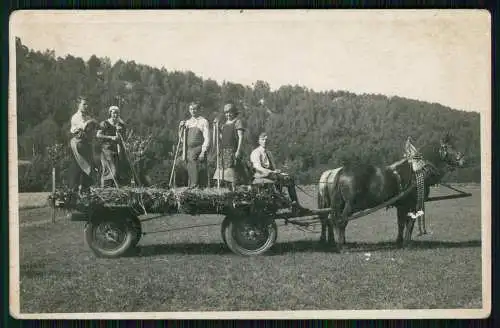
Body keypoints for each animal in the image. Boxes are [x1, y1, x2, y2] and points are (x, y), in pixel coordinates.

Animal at [318, 133, 466, 251]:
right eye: (449, 146)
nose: (463, 160)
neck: (417, 170)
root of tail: (341, 172)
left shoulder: (401, 204)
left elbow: (401, 223)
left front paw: (399, 241)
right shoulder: (412, 204)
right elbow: (410, 223)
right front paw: (407, 243)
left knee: (332, 220)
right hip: (350, 205)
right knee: (341, 221)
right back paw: (341, 246)